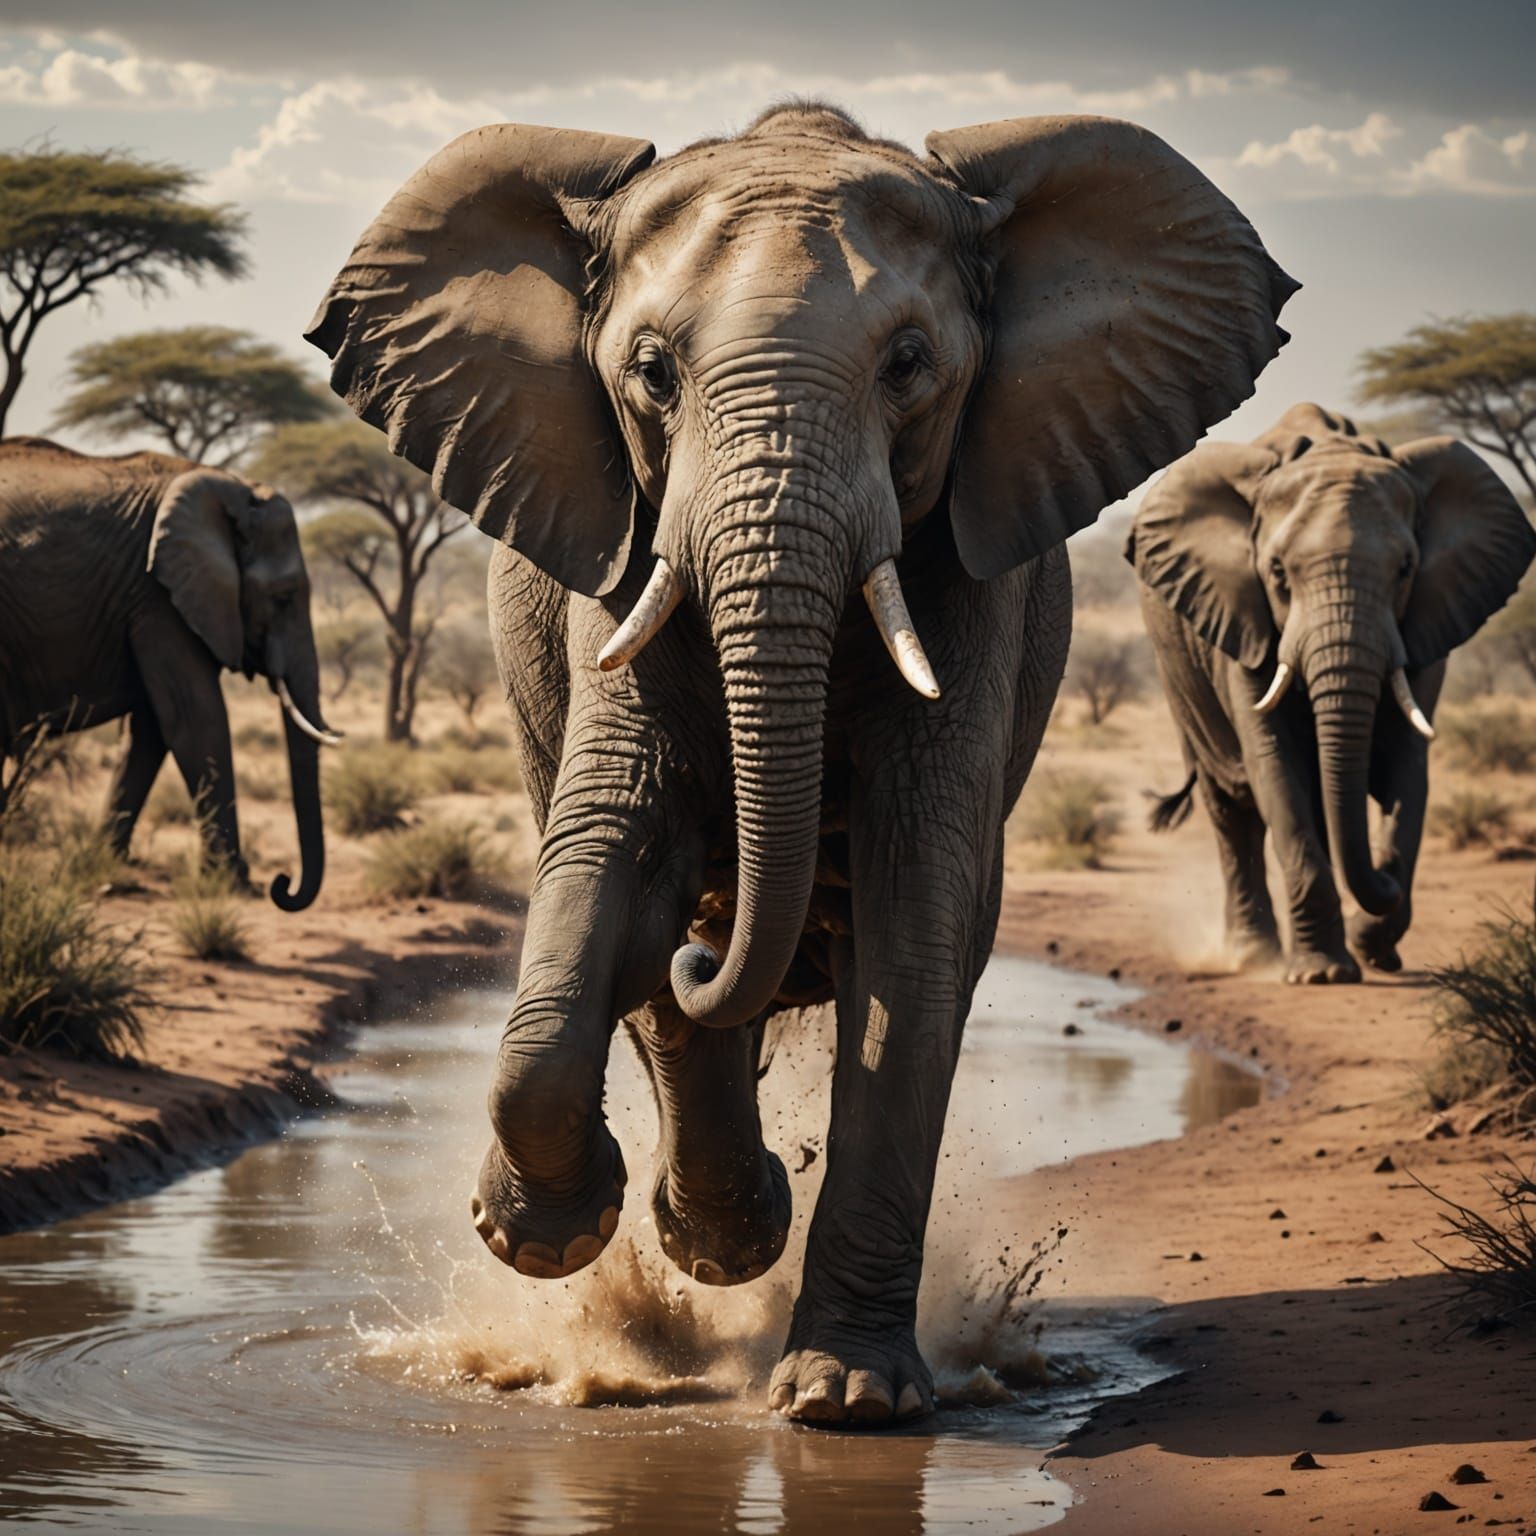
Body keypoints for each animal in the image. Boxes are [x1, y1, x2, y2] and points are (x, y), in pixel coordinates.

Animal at [0, 438, 337, 911]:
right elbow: (195, 718)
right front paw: (234, 884)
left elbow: (150, 731)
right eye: (284, 598)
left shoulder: (145, 599)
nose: (282, 884)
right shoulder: (157, 596)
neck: (233, 489)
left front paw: (105, 862)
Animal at [306, 101, 1294, 1422]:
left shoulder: (972, 579)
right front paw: (541, 1239)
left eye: (910, 365)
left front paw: (844, 1400)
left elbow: (915, 920)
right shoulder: (616, 561)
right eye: (652, 373)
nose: (704, 941)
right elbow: (608, 850)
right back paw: (718, 1239)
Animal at [1128, 403, 1536, 983]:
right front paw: (1321, 973)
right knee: (1230, 807)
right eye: (1277, 572)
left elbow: (1407, 771)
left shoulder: (1424, 626)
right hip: (1176, 671)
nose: (1383, 879)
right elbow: (1276, 766)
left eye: (1406, 569)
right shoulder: (1244, 619)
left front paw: (1375, 947)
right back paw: (1252, 955)